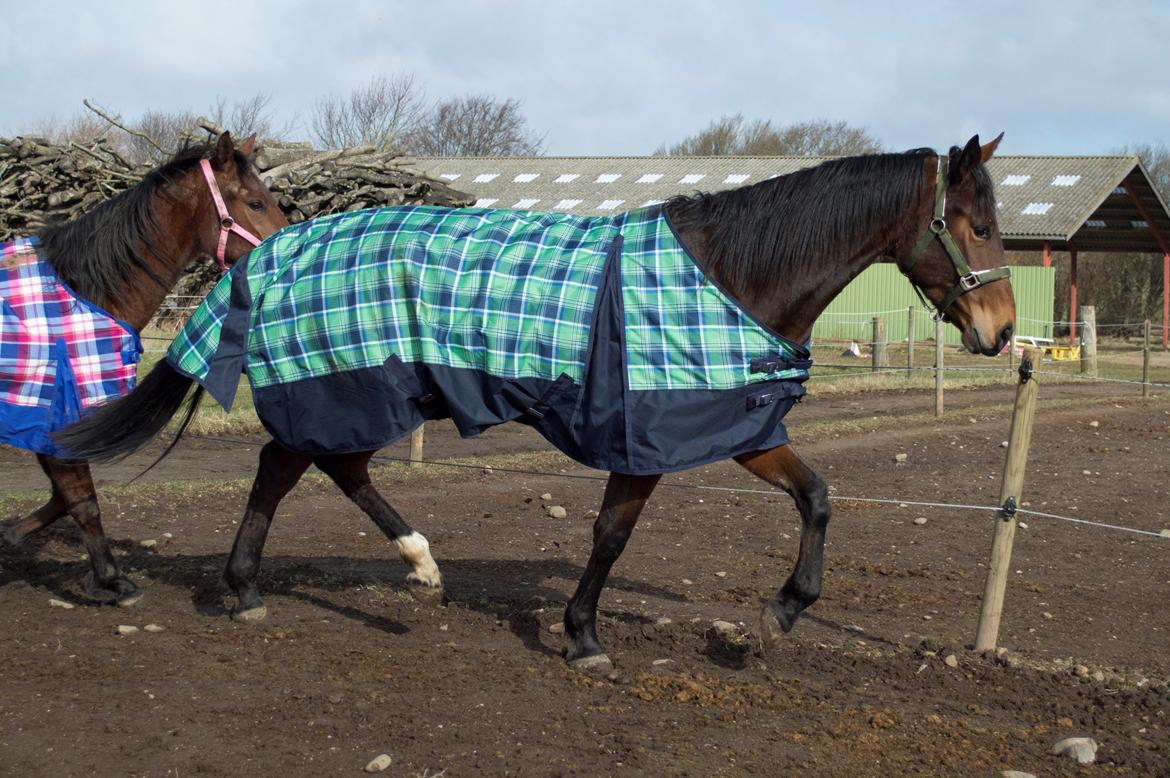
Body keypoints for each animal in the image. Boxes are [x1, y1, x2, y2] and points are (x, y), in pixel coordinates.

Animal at [1, 132, 285, 608]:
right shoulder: (58, 412)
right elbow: (82, 499)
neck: (85, 291)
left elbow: (63, 496)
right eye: (255, 202)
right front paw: (113, 580)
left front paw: (12, 535)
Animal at [59, 133, 1020, 669]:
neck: (729, 275)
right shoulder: (644, 435)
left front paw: (783, 612)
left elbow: (817, 495)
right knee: (284, 464)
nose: (1003, 330)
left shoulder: (733, 424)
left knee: (327, 468)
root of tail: (272, 255)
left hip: (374, 391)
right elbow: (611, 535)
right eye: (974, 225)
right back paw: (255, 584)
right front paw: (584, 637)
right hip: (349, 385)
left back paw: (411, 568)